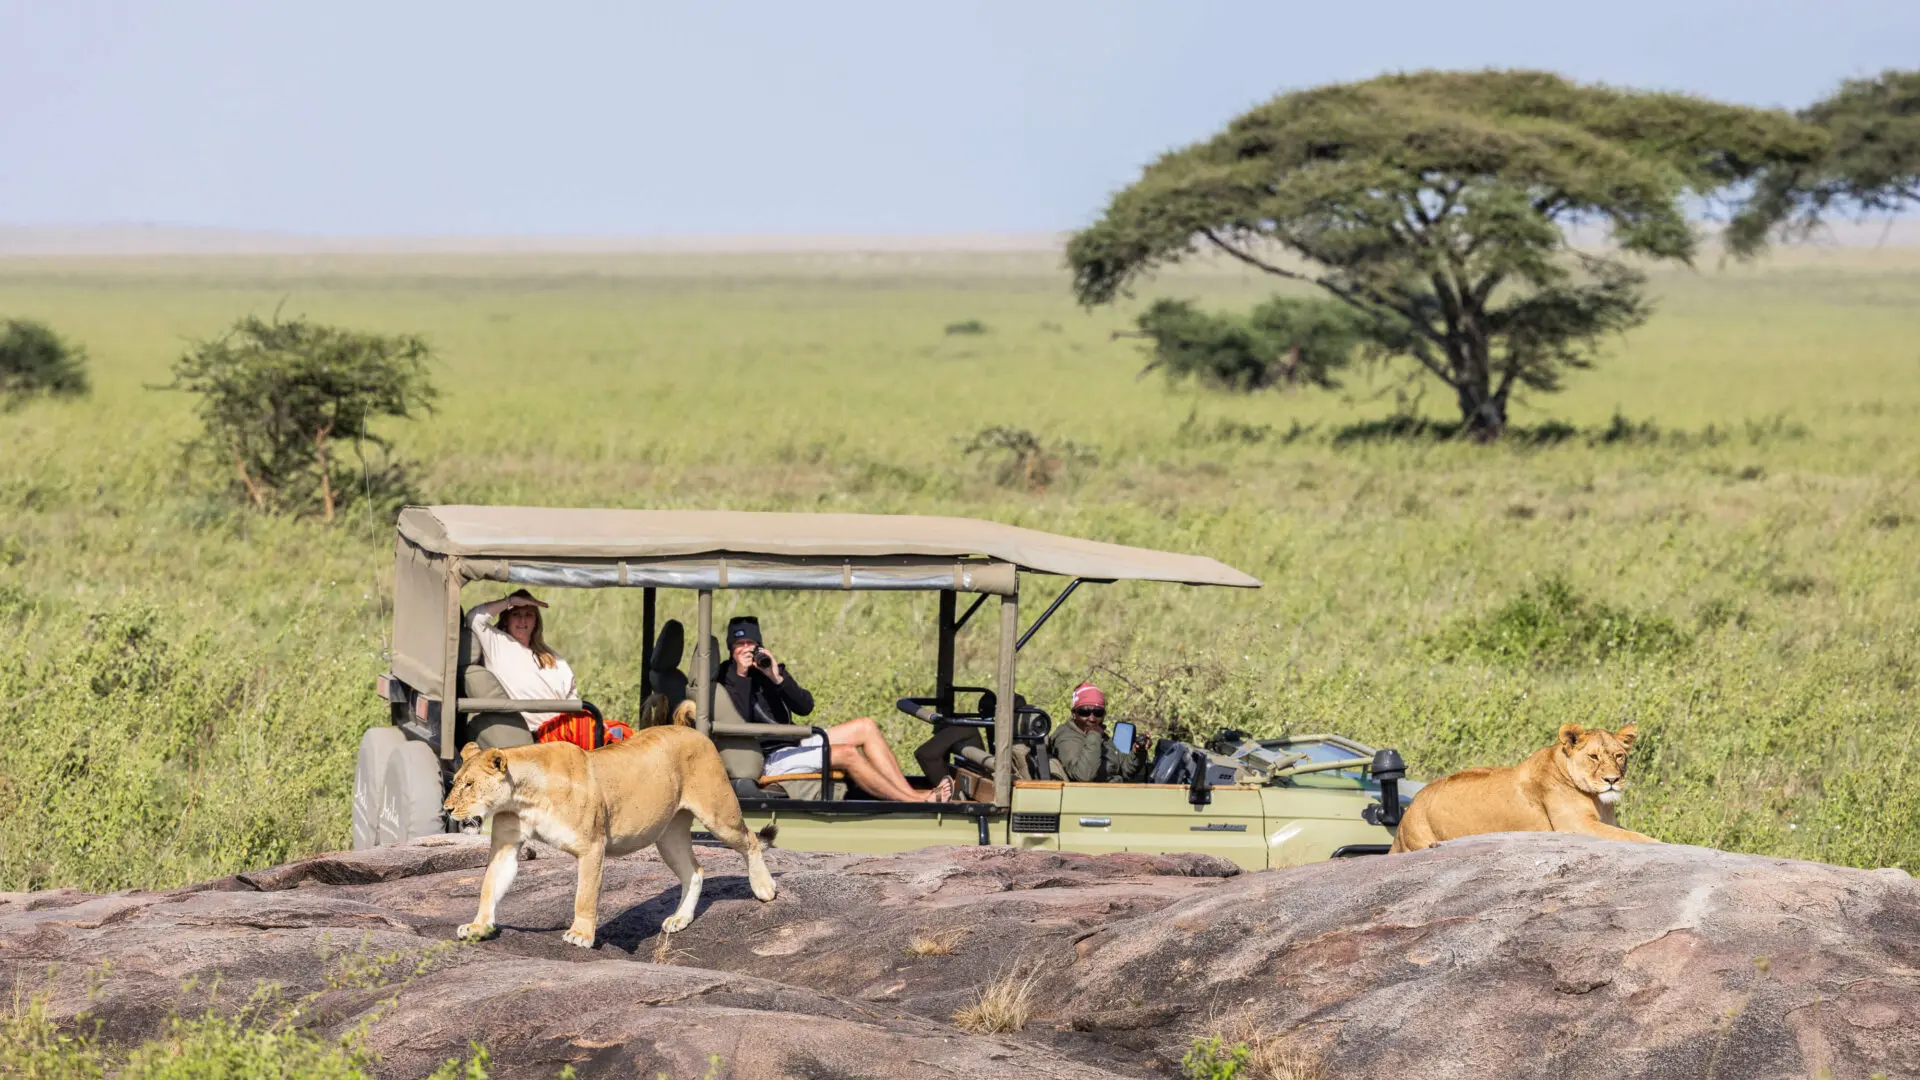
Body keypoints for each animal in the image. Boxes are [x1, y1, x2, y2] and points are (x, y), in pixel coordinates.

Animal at [444, 723, 775, 948]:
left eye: (469, 784)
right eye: (456, 781)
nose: (447, 809)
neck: (523, 797)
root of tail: (696, 732)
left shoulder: (592, 845)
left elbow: (585, 895)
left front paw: (580, 934)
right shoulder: (506, 844)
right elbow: (490, 886)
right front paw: (477, 927)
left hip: (719, 814)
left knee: (751, 840)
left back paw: (764, 888)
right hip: (668, 836)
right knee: (694, 870)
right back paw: (680, 919)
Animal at [1388, 722, 1656, 853]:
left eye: (1619, 756)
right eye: (1593, 757)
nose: (1612, 780)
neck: (1599, 800)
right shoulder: (1575, 825)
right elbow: (1632, 836)